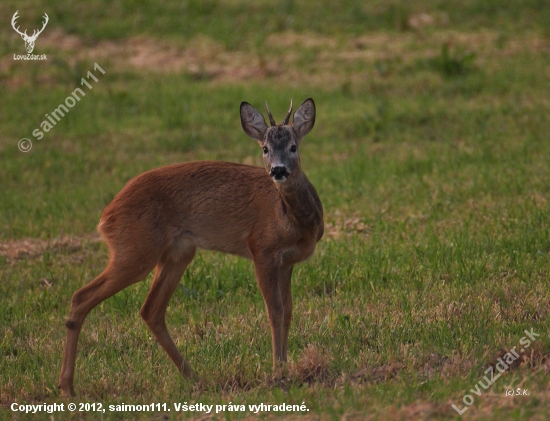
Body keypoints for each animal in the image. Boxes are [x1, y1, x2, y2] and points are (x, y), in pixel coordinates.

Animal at [57, 97, 324, 394]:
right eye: (265, 149)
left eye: (293, 146)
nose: (278, 170)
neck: (291, 219)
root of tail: (106, 216)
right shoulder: (261, 250)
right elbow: (274, 311)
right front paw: (278, 373)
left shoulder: (286, 262)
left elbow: (288, 311)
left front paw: (286, 367)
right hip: (136, 250)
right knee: (81, 296)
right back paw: (67, 387)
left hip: (178, 252)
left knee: (150, 310)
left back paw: (194, 377)